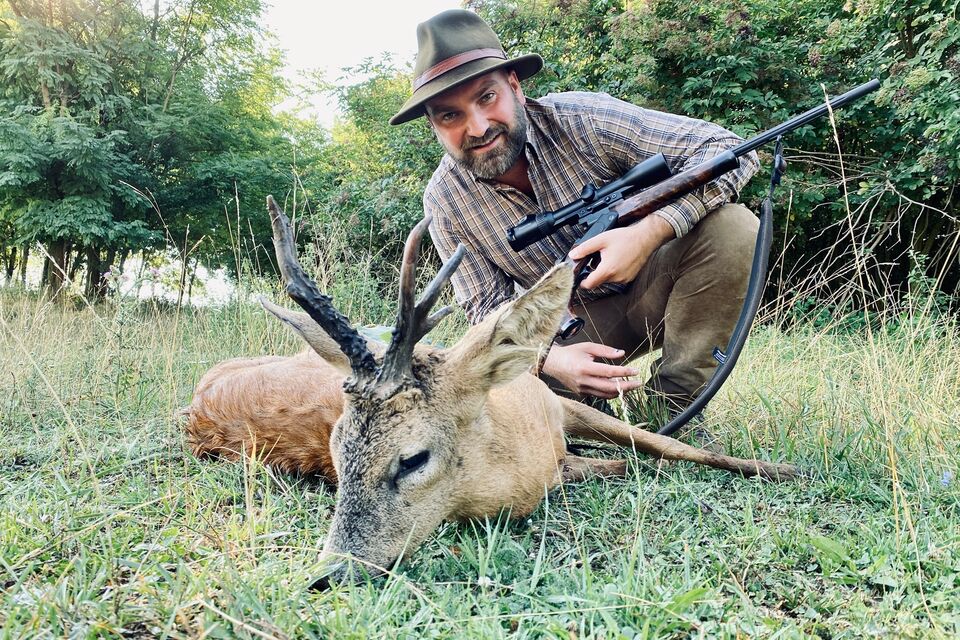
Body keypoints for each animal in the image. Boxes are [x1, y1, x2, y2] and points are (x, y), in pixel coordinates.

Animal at [180, 196, 796, 592]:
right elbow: (626, 460)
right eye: (336, 451)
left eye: (413, 458)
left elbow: (670, 446)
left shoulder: (560, 403)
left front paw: (781, 468)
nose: (329, 573)